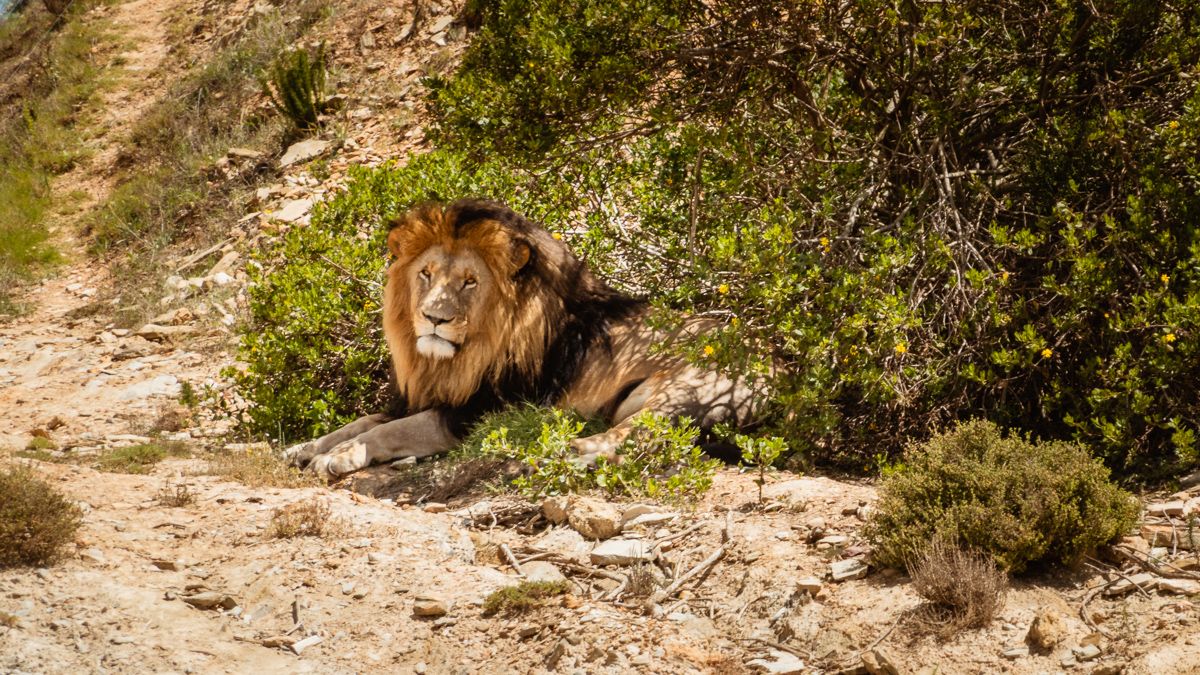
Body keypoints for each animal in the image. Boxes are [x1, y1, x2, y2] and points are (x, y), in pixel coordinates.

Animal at [284, 198, 762, 480]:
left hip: (684, 394)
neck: (454, 357)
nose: (434, 318)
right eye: (426, 274)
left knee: (626, 439)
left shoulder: (480, 411)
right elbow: (364, 420)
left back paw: (548, 451)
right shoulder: (425, 395)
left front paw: (340, 455)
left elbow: (394, 429)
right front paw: (306, 447)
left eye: (470, 282)